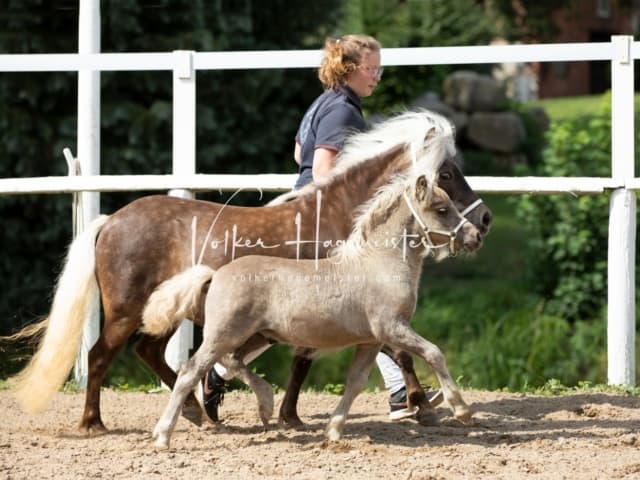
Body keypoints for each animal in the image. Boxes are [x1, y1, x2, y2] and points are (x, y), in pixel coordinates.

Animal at [8, 111, 490, 432]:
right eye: (447, 174)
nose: (483, 222)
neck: (339, 220)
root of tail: (110, 221)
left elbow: (305, 360)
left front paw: (289, 416)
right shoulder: (356, 310)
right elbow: (398, 352)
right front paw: (424, 404)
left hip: (168, 312)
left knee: (151, 352)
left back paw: (199, 414)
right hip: (126, 311)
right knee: (100, 356)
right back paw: (95, 422)